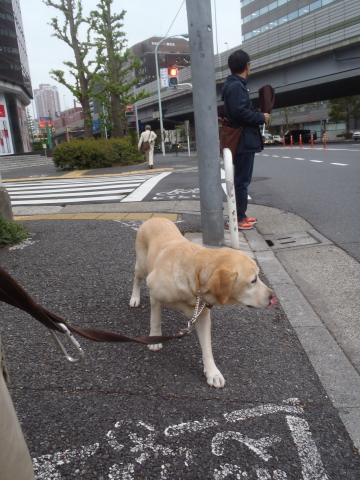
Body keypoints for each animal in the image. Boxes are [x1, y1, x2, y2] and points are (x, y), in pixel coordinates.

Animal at [129, 219, 276, 388]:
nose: (273, 297)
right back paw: (134, 298)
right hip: (142, 265)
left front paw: (213, 373)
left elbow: (207, 348)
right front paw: (154, 339)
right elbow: (155, 320)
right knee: (137, 279)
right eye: (253, 280)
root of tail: (155, 218)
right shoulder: (155, 295)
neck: (194, 274)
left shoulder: (203, 315)